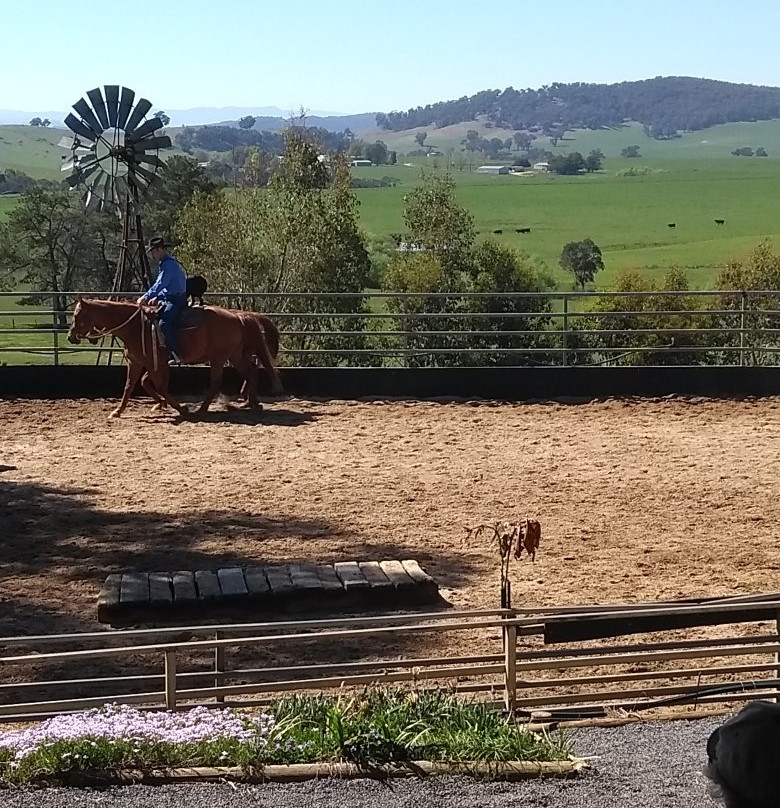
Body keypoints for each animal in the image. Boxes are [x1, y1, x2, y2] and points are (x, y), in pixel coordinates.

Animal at [67, 300, 258, 420]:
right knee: (250, 371)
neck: (135, 327)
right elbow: (131, 386)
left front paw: (181, 408)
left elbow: (159, 385)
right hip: (233, 355)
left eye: (76, 315)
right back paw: (252, 403)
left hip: (219, 357)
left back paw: (203, 408)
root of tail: (237, 317)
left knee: (217, 381)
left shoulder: (154, 364)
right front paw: (118, 411)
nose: (70, 337)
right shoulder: (136, 362)